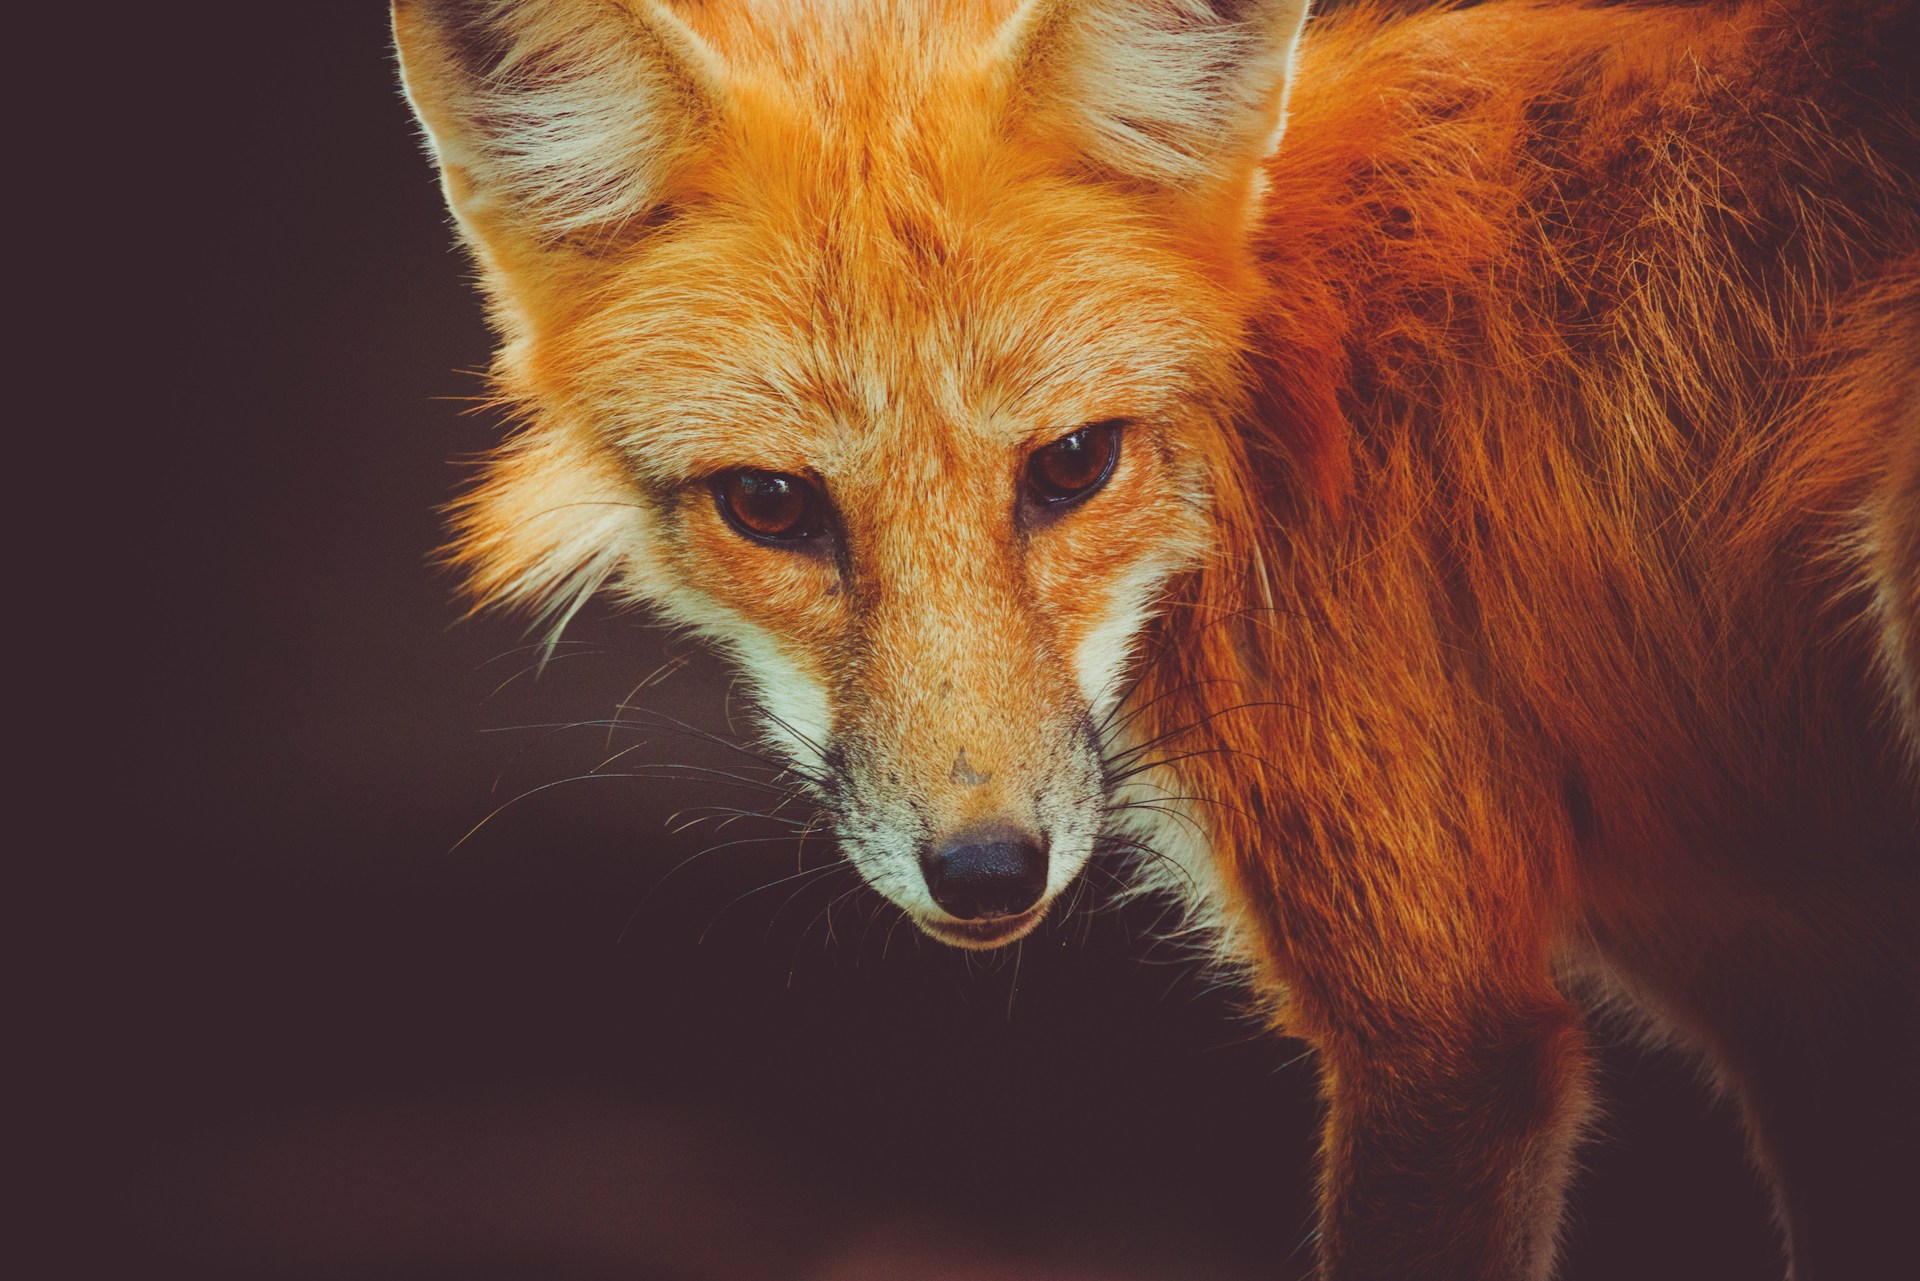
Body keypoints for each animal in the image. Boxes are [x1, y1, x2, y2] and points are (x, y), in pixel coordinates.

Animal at [393, 0, 1919, 1277]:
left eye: (1074, 465)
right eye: (771, 505)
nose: (988, 871)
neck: (1278, 424)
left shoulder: (1448, 1029)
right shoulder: (1799, 981)